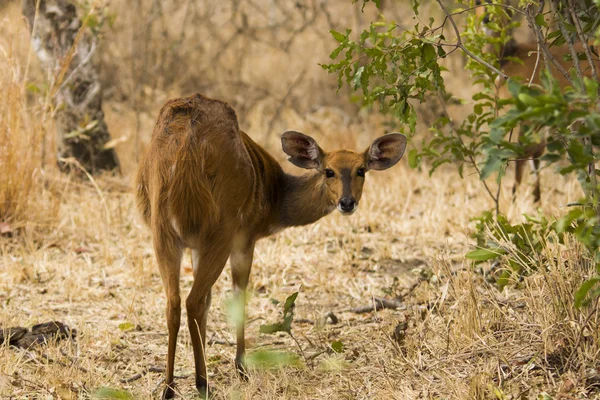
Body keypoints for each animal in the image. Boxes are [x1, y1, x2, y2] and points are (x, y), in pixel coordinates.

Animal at [137, 93, 408, 396]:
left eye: (361, 170)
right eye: (329, 171)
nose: (347, 203)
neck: (274, 192)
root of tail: (184, 150)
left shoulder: (195, 245)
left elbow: (207, 302)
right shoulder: (244, 240)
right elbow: (237, 295)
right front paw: (241, 368)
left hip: (163, 235)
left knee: (173, 303)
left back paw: (169, 387)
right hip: (218, 233)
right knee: (193, 301)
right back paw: (202, 384)